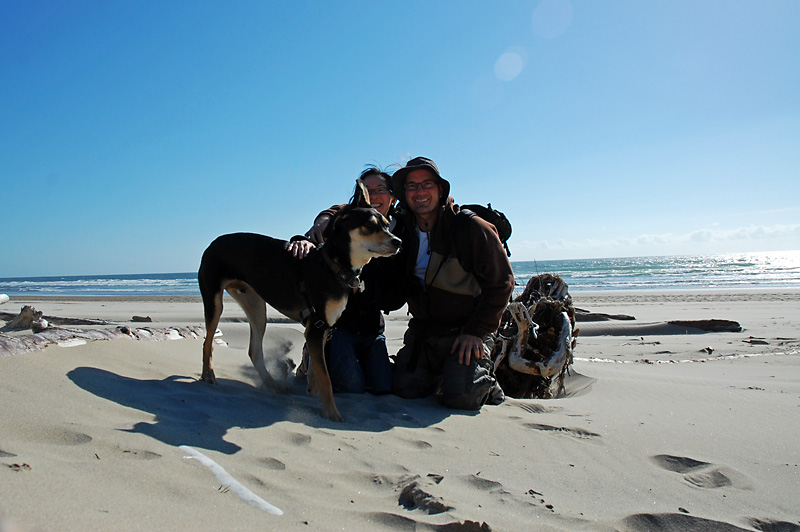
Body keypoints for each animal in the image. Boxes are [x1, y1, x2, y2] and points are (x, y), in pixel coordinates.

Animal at [198, 206, 404, 422]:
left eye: (387, 225)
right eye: (369, 226)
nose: (398, 242)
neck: (332, 266)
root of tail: (213, 243)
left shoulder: (323, 328)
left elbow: (316, 370)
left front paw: (314, 394)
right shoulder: (316, 327)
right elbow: (325, 377)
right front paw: (332, 414)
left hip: (255, 306)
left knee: (254, 350)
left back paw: (273, 385)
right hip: (215, 302)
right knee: (208, 342)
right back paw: (209, 375)